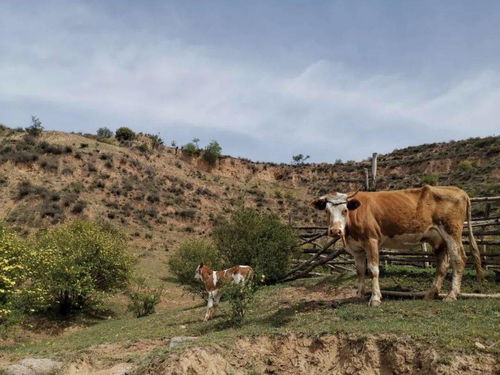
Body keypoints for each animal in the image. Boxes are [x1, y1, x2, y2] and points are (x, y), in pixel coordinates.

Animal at [312, 187, 484, 306]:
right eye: (327, 211)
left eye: (345, 210)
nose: (335, 231)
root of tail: (459, 190)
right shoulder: (356, 249)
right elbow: (360, 271)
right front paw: (359, 295)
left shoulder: (371, 241)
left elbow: (373, 270)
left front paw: (375, 298)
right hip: (439, 239)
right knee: (443, 263)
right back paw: (430, 294)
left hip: (451, 232)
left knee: (459, 259)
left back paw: (451, 295)